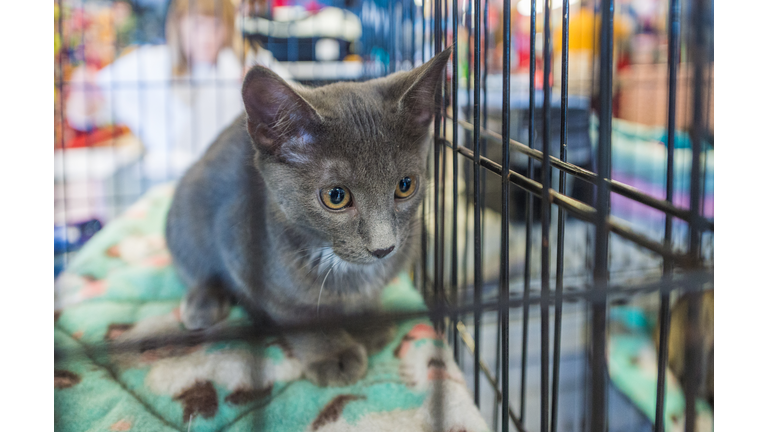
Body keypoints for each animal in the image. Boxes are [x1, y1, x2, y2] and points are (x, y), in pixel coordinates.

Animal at [162, 49, 450, 386]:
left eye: (405, 186)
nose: (384, 248)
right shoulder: (239, 245)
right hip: (186, 212)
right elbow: (298, 313)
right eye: (336, 196)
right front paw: (333, 353)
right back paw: (203, 302)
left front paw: (367, 321)